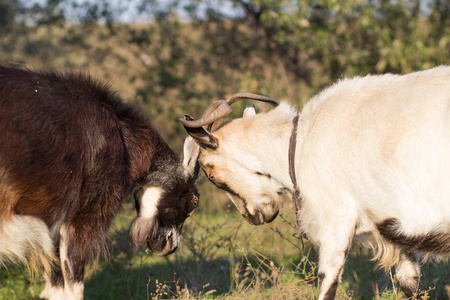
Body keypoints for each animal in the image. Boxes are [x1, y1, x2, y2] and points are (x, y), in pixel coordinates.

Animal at [179, 66, 450, 300]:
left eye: (211, 174)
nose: (252, 216)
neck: (299, 143)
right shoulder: (394, 230)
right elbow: (410, 283)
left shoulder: (336, 219)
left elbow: (327, 282)